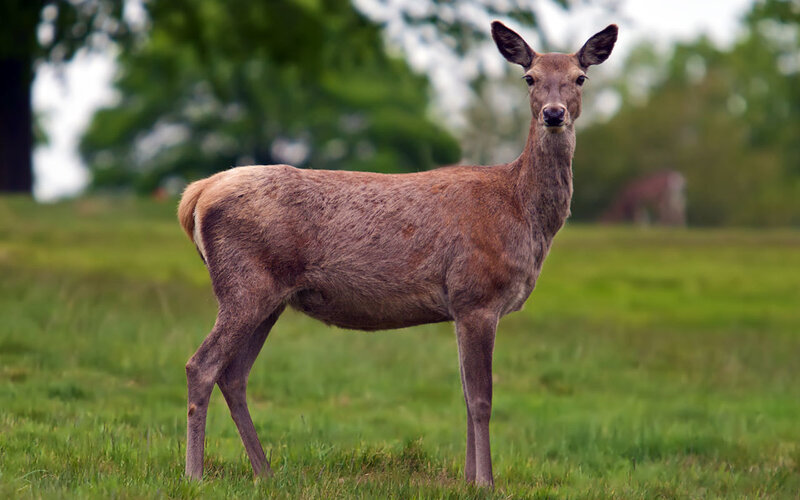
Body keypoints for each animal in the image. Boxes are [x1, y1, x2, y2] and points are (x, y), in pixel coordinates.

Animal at [177, 21, 617, 487]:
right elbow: (482, 399)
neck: (521, 212)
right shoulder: (476, 295)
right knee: (201, 365)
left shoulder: (460, 307)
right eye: (529, 77)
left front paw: (467, 479)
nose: (553, 113)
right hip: (244, 284)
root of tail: (197, 194)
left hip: (268, 296)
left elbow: (465, 396)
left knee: (234, 375)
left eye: (580, 78)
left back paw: (266, 472)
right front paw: (486, 482)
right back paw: (195, 474)